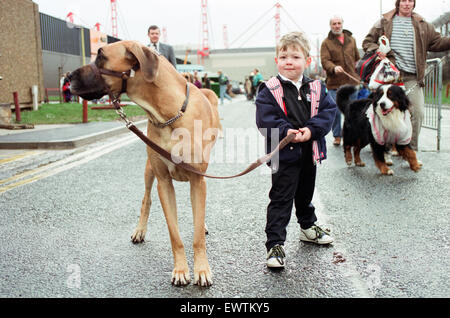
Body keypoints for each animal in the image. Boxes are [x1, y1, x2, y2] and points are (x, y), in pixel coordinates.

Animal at [67, 39, 221, 286]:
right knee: (145, 200)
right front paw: (180, 269)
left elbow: (197, 233)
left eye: (100, 55)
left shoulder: (198, 179)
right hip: (149, 170)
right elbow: (174, 234)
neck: (169, 113)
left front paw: (202, 269)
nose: (68, 76)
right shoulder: (163, 182)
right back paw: (140, 230)